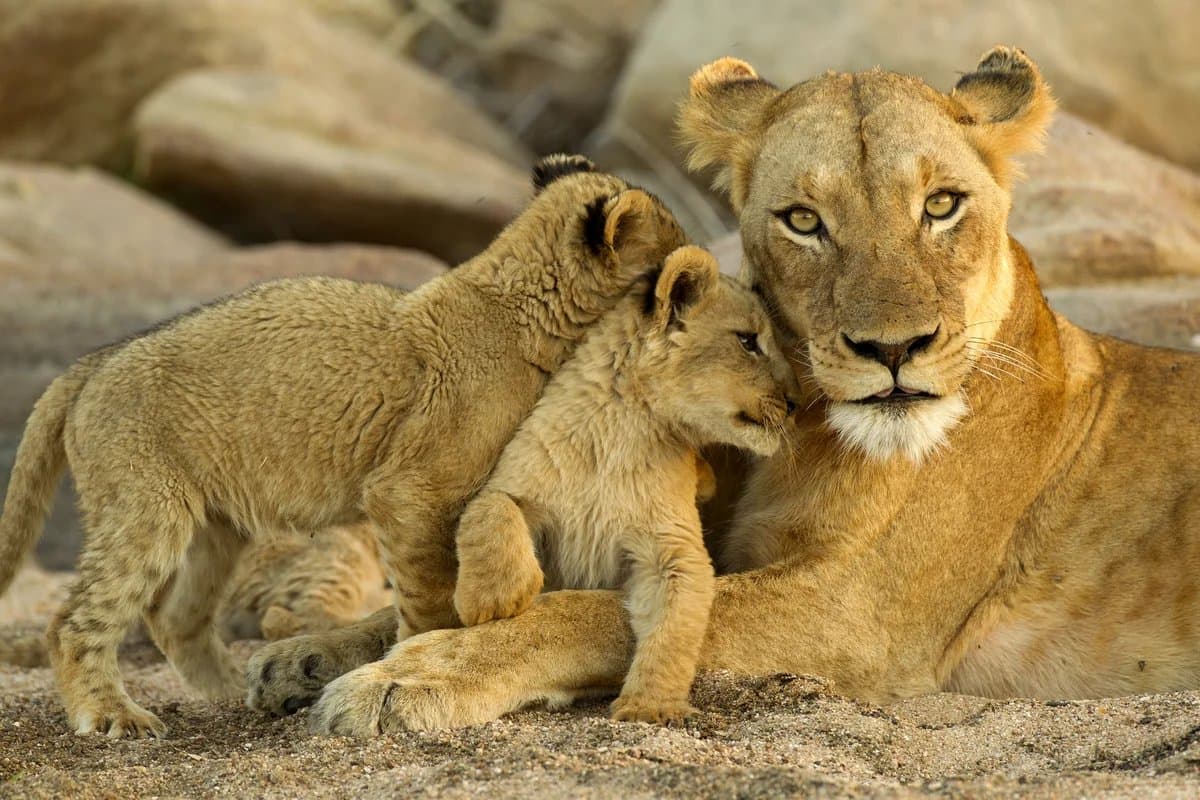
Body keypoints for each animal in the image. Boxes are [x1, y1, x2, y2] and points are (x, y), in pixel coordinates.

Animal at [0, 154, 686, 738]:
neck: (520, 305)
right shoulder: (412, 489)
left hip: (216, 524)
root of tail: (92, 362)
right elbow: (429, 593)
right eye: (675, 248)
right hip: (147, 506)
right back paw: (113, 715)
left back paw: (234, 691)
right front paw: (416, 654)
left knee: (174, 616)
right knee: (73, 622)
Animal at [244, 46, 1200, 736]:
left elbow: (585, 612)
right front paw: (309, 654)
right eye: (804, 221)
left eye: (941, 205)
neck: (807, 435)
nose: (893, 350)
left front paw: (411, 674)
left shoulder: (854, 614)